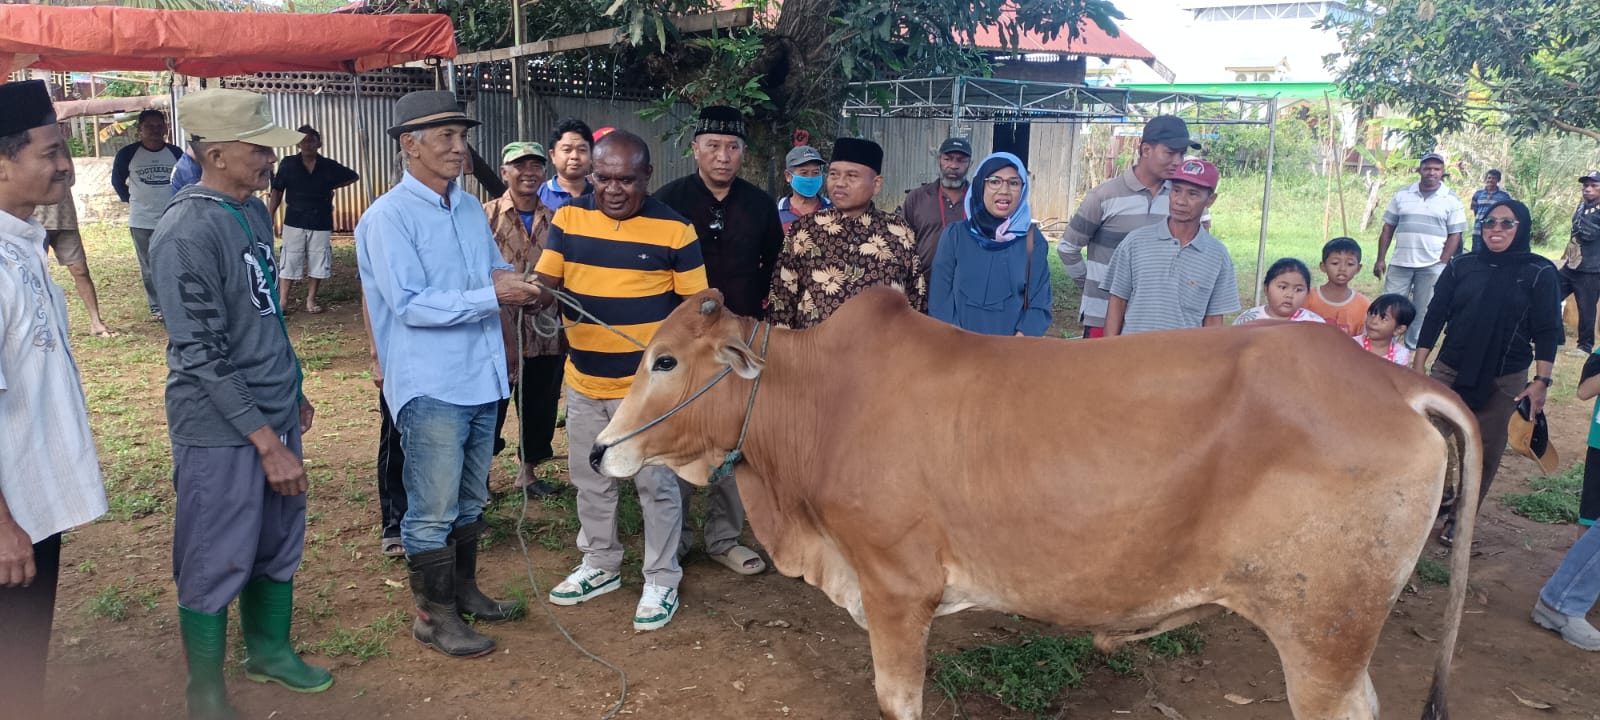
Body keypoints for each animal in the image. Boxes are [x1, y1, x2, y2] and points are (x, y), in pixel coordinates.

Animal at [592, 286, 1484, 720]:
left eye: (664, 361)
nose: (601, 449)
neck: (822, 402)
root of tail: (1396, 384)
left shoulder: (897, 590)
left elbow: (897, 699)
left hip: (1324, 639)